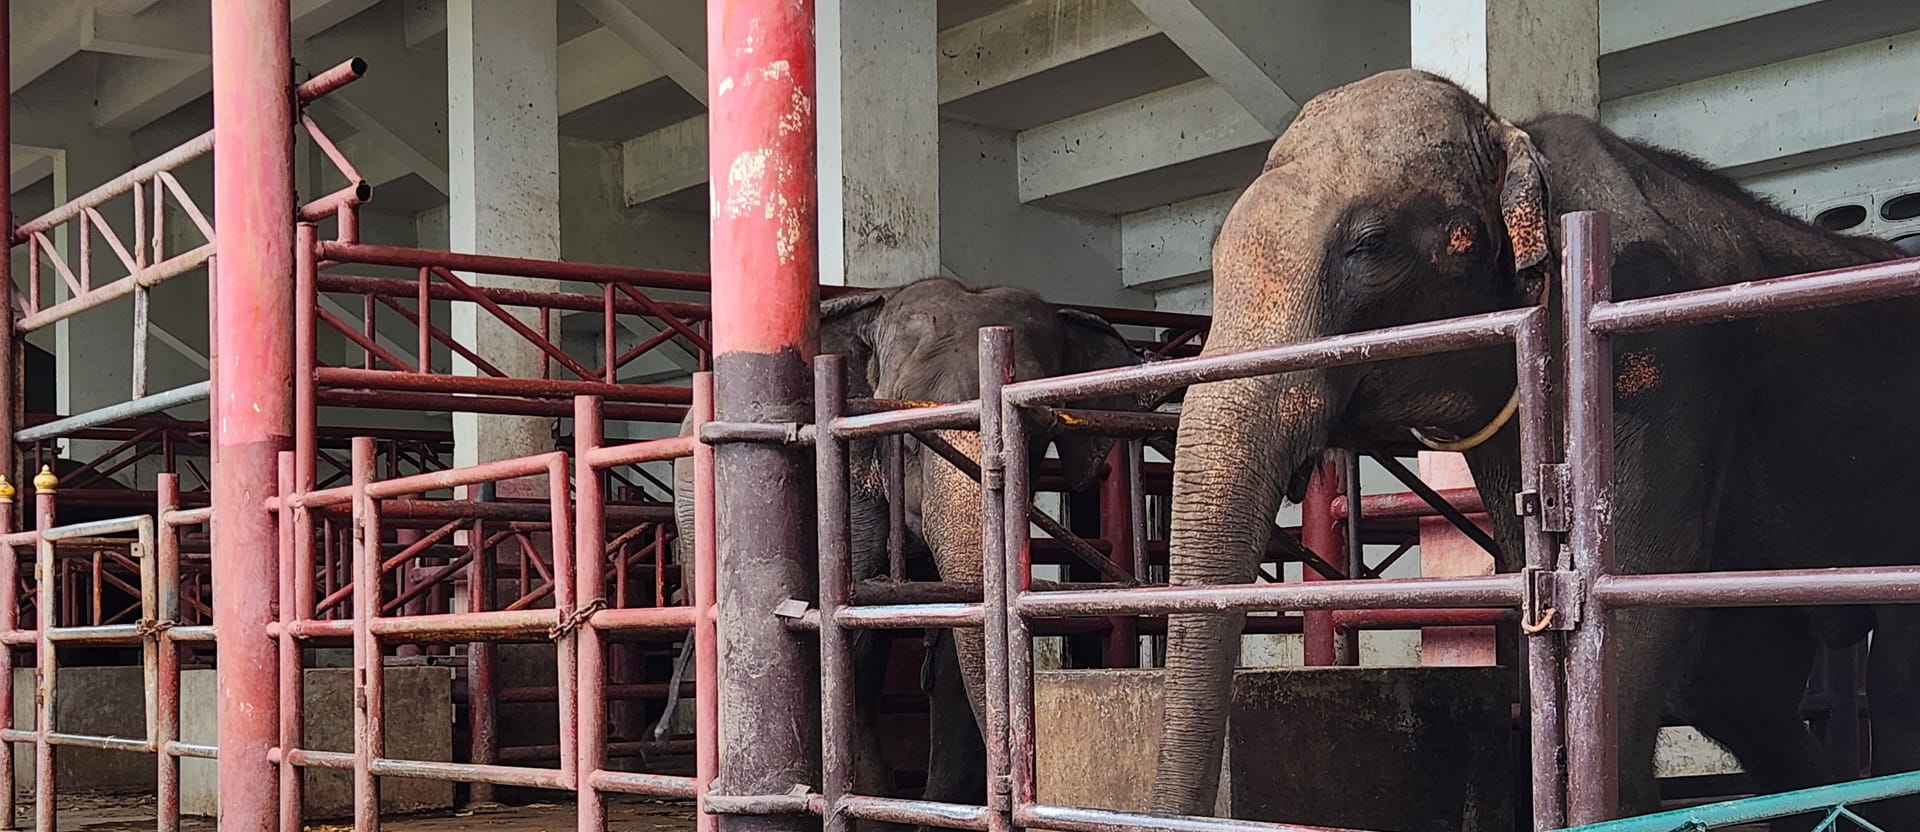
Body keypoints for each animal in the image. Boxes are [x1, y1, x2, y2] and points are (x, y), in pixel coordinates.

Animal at [1150, 68, 1920, 828]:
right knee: (1742, 683)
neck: (1515, 138)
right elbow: (1544, 566)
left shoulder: (1656, 350)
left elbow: (1632, 580)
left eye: (1370, 243)